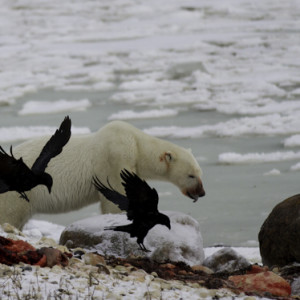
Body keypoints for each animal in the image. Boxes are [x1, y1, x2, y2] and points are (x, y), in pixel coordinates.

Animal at [0, 120, 204, 229]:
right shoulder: (114, 158)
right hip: (14, 194)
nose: (202, 193)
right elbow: (113, 196)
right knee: (10, 215)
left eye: (199, 172)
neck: (135, 144)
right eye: (191, 175)